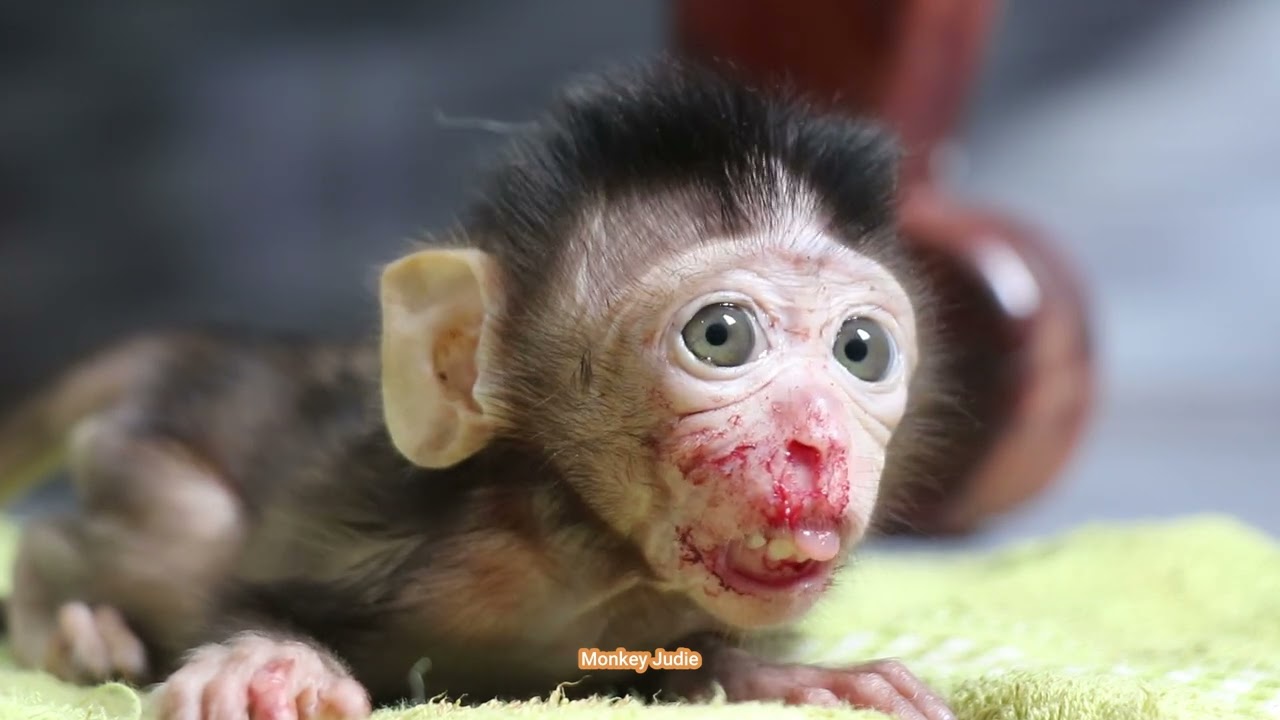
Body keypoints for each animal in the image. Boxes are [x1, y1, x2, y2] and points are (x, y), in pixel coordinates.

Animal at [0, 58, 955, 720]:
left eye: (861, 350)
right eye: (721, 337)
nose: (815, 440)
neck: (592, 557)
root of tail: (209, 350)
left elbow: (696, 666)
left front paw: (793, 678)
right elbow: (248, 589)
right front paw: (264, 661)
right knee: (145, 535)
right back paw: (64, 616)